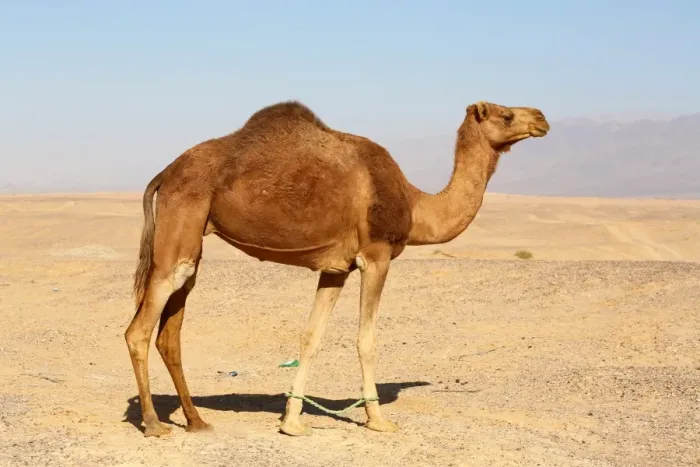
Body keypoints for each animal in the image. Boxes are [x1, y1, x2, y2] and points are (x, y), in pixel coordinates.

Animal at [124, 99, 550, 438]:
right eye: (506, 114)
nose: (542, 118)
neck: (416, 207)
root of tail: (164, 173)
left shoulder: (335, 269)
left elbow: (311, 337)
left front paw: (292, 422)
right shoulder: (375, 257)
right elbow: (366, 340)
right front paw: (378, 419)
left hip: (193, 238)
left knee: (170, 331)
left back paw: (196, 420)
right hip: (183, 218)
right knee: (139, 330)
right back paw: (154, 423)